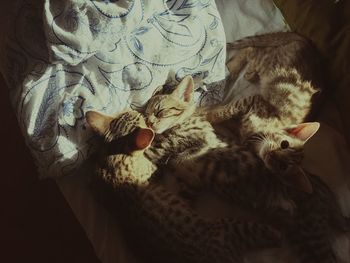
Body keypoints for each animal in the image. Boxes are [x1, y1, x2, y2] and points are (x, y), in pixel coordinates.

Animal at [86, 110, 280, 263]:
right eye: (141, 119)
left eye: (136, 114)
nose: (144, 115)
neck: (114, 156)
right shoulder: (154, 171)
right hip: (235, 227)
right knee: (276, 234)